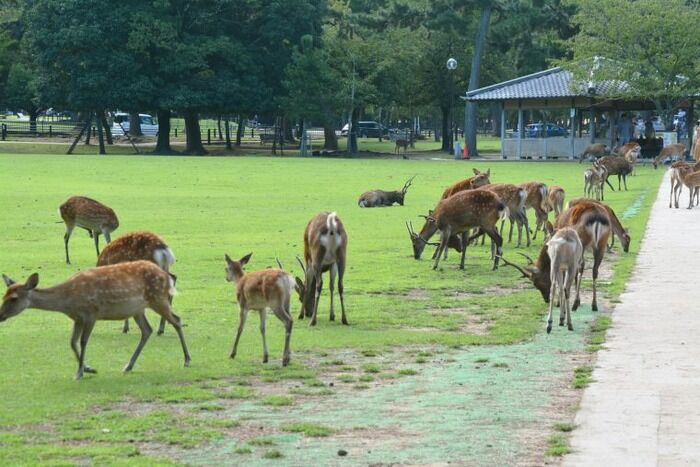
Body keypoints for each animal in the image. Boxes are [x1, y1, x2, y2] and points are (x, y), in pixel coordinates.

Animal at [0, 261, 190, 379]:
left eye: (14, 298)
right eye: (4, 295)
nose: (0, 315)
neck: (68, 302)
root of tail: (166, 275)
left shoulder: (91, 313)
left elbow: (83, 341)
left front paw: (80, 372)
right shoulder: (77, 318)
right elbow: (72, 342)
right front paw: (88, 368)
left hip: (158, 298)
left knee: (177, 320)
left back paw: (187, 360)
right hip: (138, 309)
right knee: (147, 330)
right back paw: (128, 365)